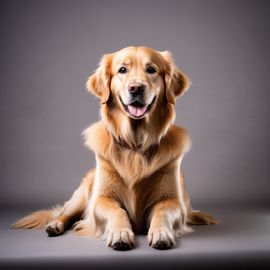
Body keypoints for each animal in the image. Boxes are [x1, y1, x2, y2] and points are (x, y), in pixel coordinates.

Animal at [11, 45, 219, 250]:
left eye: (151, 69)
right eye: (122, 70)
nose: (136, 88)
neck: (135, 145)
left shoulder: (172, 200)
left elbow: (162, 211)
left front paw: (161, 232)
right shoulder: (102, 198)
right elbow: (117, 211)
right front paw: (120, 233)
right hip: (82, 195)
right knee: (64, 213)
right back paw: (55, 225)